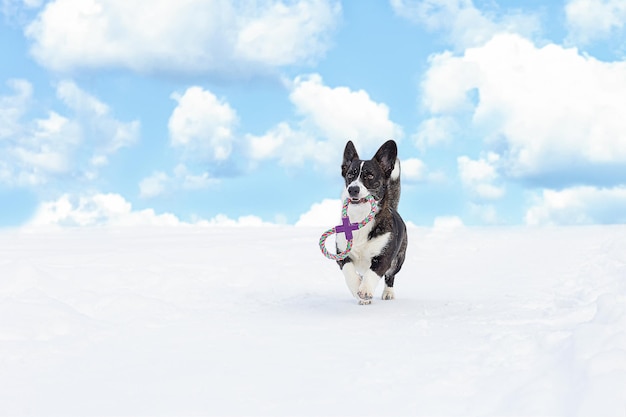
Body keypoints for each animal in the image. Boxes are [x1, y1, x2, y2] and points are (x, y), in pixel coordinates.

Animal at [334, 138, 408, 304]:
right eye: (350, 174)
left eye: (369, 176)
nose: (352, 189)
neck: (360, 216)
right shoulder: (341, 253)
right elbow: (349, 270)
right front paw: (357, 288)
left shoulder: (384, 257)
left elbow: (373, 273)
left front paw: (365, 290)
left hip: (398, 260)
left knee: (390, 276)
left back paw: (388, 293)